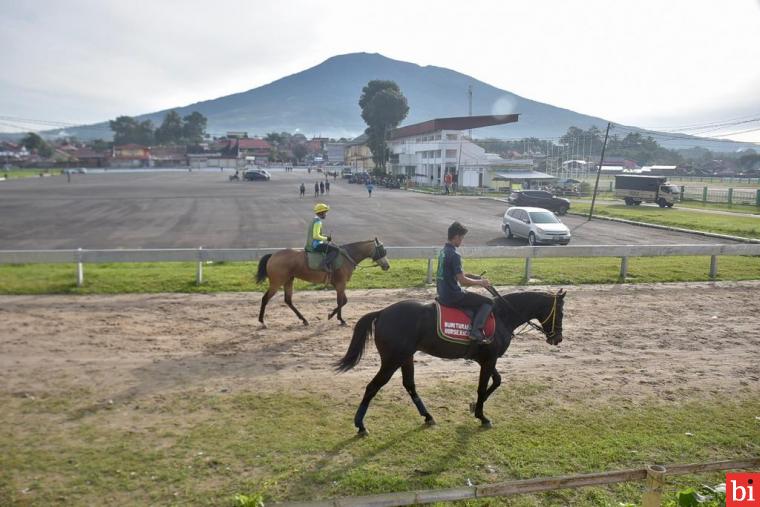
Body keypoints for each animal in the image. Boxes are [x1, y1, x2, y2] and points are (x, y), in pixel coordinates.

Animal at [255, 239, 388, 328]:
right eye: (382, 250)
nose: (387, 266)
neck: (347, 256)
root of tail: (273, 255)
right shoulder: (341, 284)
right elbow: (341, 301)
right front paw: (337, 318)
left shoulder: (338, 285)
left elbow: (343, 301)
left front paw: (337, 317)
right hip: (277, 282)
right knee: (265, 298)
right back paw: (262, 321)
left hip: (288, 280)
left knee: (288, 300)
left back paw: (303, 319)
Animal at [336, 290, 564, 436]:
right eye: (561, 313)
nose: (558, 339)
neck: (502, 315)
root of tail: (382, 312)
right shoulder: (489, 360)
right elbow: (483, 387)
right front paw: (481, 415)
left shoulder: (486, 359)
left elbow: (497, 381)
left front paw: (474, 407)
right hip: (392, 360)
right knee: (373, 386)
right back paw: (360, 425)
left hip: (405, 357)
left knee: (409, 385)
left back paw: (427, 416)